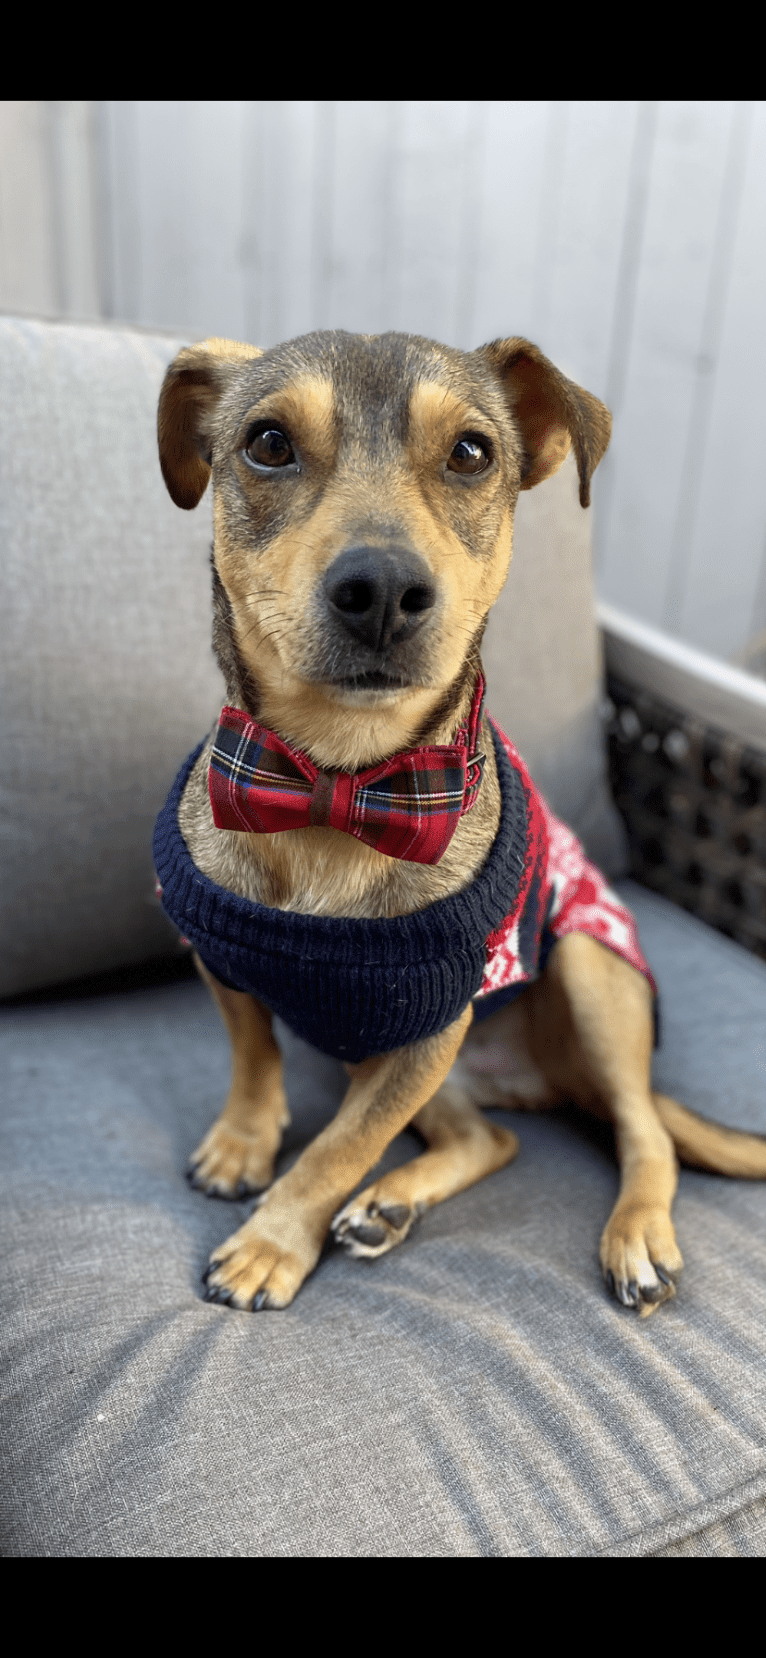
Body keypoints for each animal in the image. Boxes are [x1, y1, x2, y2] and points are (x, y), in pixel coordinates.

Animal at [154, 323, 766, 1313]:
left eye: (472, 453)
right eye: (268, 443)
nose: (381, 589)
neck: (340, 782)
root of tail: (537, 1083)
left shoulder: (431, 1019)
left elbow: (339, 1149)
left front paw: (270, 1243)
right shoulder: (228, 957)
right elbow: (252, 1056)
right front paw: (245, 1143)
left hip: (588, 972)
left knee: (644, 1131)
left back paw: (638, 1233)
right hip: (401, 1055)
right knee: (492, 1138)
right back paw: (390, 1205)